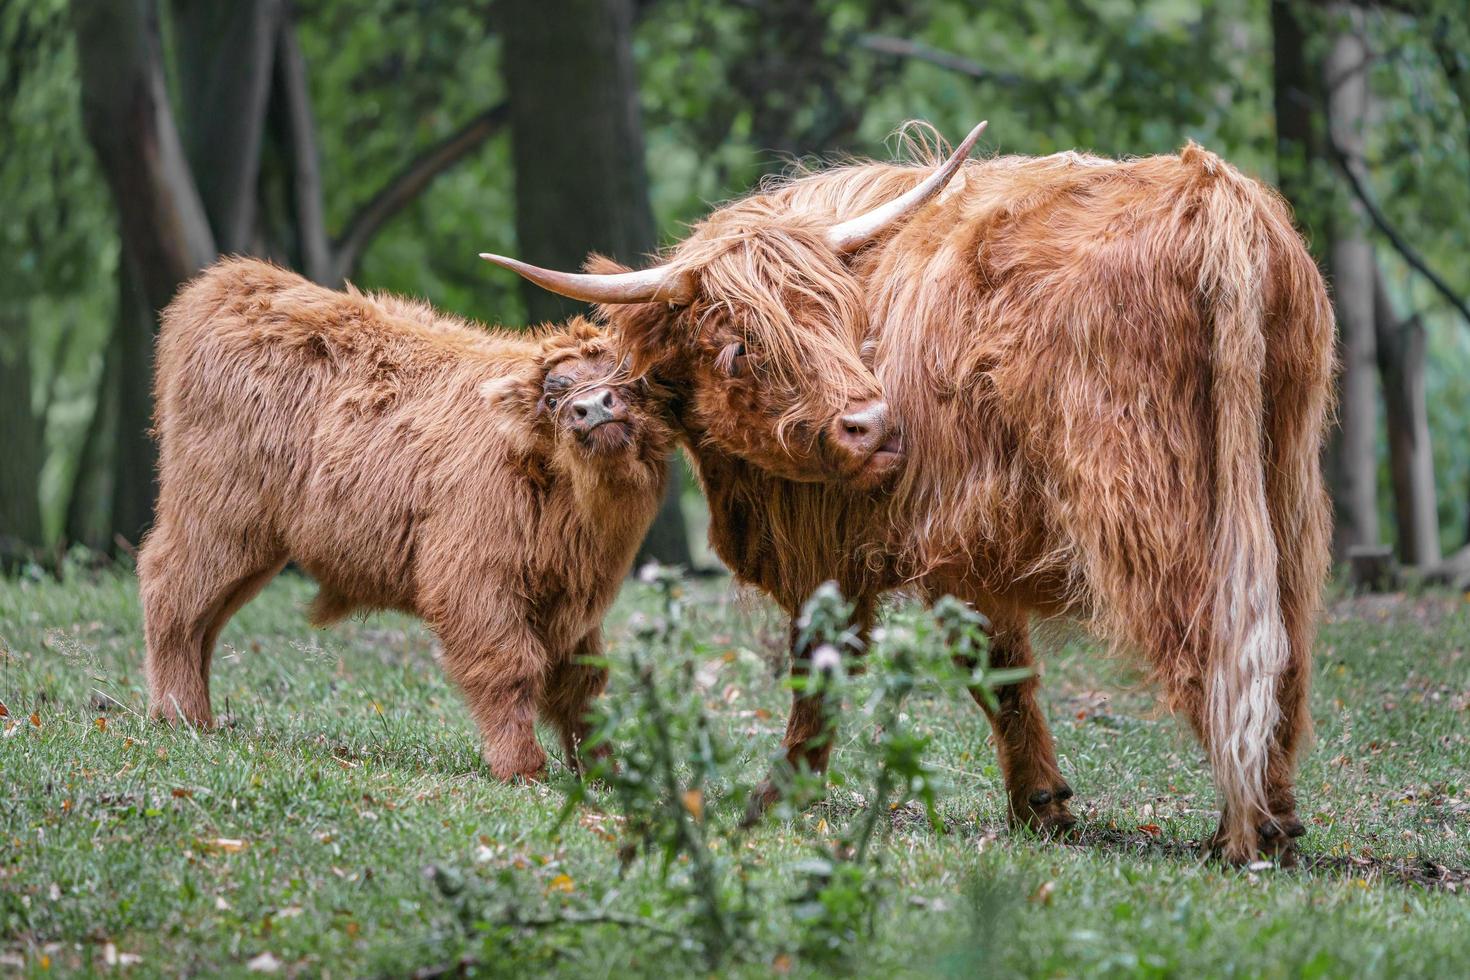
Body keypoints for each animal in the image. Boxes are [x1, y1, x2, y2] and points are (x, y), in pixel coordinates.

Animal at [135, 260, 673, 781]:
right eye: (554, 398)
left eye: (630, 381)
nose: (593, 408)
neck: (577, 508)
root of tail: (230, 282)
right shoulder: (474, 582)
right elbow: (508, 667)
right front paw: (522, 768)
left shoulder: (575, 604)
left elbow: (581, 685)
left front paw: (605, 771)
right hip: (218, 517)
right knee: (170, 591)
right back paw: (179, 715)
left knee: (205, 619)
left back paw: (200, 717)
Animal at [488, 124, 1340, 863]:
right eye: (737, 350)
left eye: (840, 316)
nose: (872, 424)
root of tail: (1211, 188)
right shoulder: (966, 545)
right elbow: (998, 667)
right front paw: (1041, 803)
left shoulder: (850, 542)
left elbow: (824, 661)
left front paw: (782, 793)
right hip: (1283, 487)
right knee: (1285, 652)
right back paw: (1277, 816)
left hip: (1147, 494)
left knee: (1213, 641)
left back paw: (1246, 832)